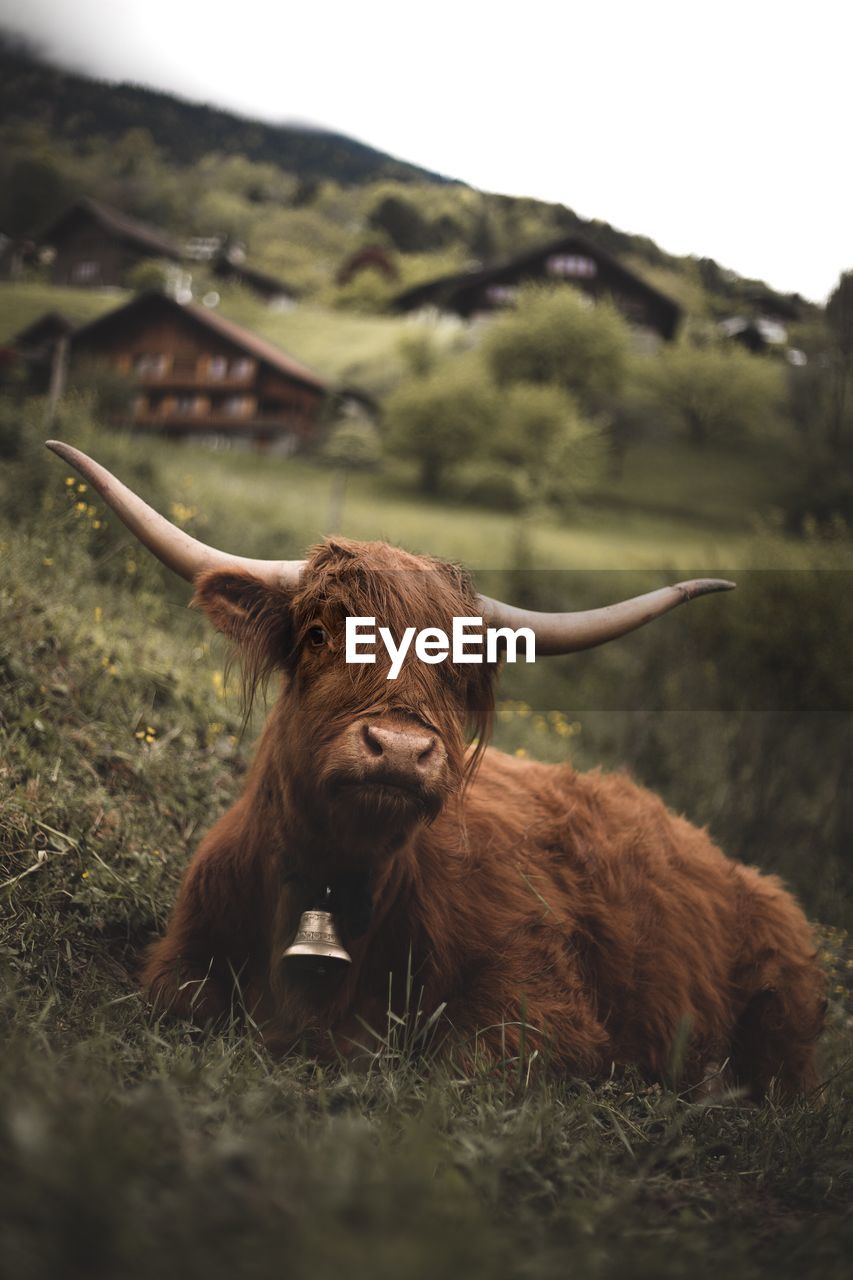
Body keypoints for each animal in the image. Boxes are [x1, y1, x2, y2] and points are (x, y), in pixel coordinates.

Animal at [48, 442, 824, 1100]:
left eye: (456, 667)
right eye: (318, 633)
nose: (397, 749)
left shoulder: (541, 1009)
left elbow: (463, 1066)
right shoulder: (179, 966)